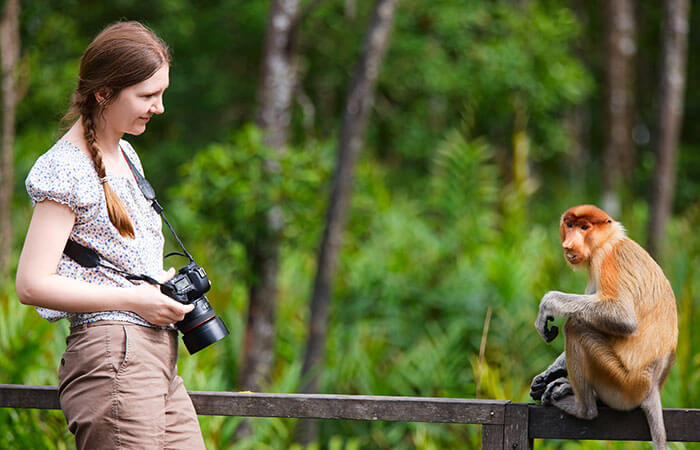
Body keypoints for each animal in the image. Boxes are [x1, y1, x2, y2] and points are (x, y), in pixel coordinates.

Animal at [532, 205, 680, 450]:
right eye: (569, 225)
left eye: (585, 227)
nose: (569, 244)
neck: (607, 240)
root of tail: (651, 388)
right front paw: (548, 373)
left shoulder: (606, 259)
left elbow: (623, 318)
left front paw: (547, 304)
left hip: (621, 384)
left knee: (576, 327)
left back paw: (582, 408)